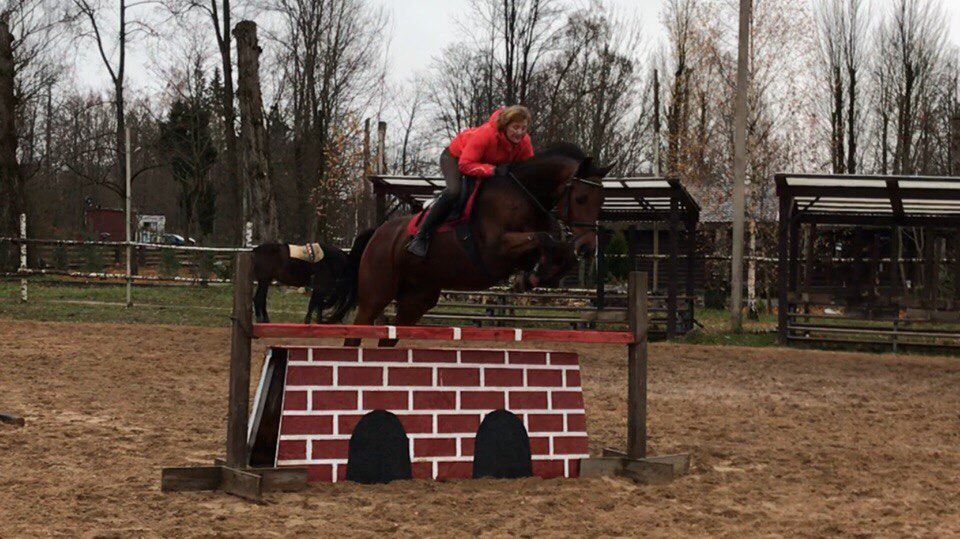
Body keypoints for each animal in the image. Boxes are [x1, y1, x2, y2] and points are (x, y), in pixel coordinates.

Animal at [344, 142, 613, 345]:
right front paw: (530, 277)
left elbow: (559, 249)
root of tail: (378, 233)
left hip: (416, 300)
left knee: (389, 338)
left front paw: (533, 277)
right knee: (356, 332)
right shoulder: (495, 251)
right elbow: (542, 238)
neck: (523, 195)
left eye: (601, 201)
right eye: (581, 198)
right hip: (376, 294)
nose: (588, 247)